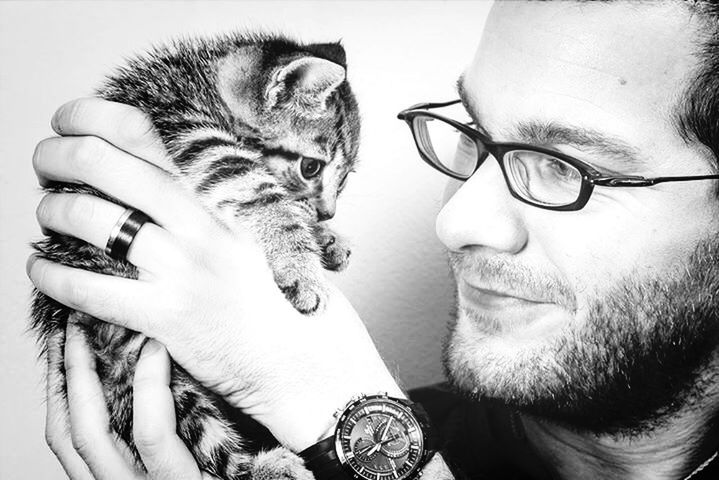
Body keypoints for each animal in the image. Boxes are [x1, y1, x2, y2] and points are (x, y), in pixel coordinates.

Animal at [31, 32, 362, 480]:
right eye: (311, 167)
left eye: (343, 178)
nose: (327, 212)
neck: (200, 82)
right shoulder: (192, 131)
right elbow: (260, 192)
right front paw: (300, 263)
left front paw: (326, 239)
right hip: (140, 365)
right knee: (211, 448)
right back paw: (266, 468)